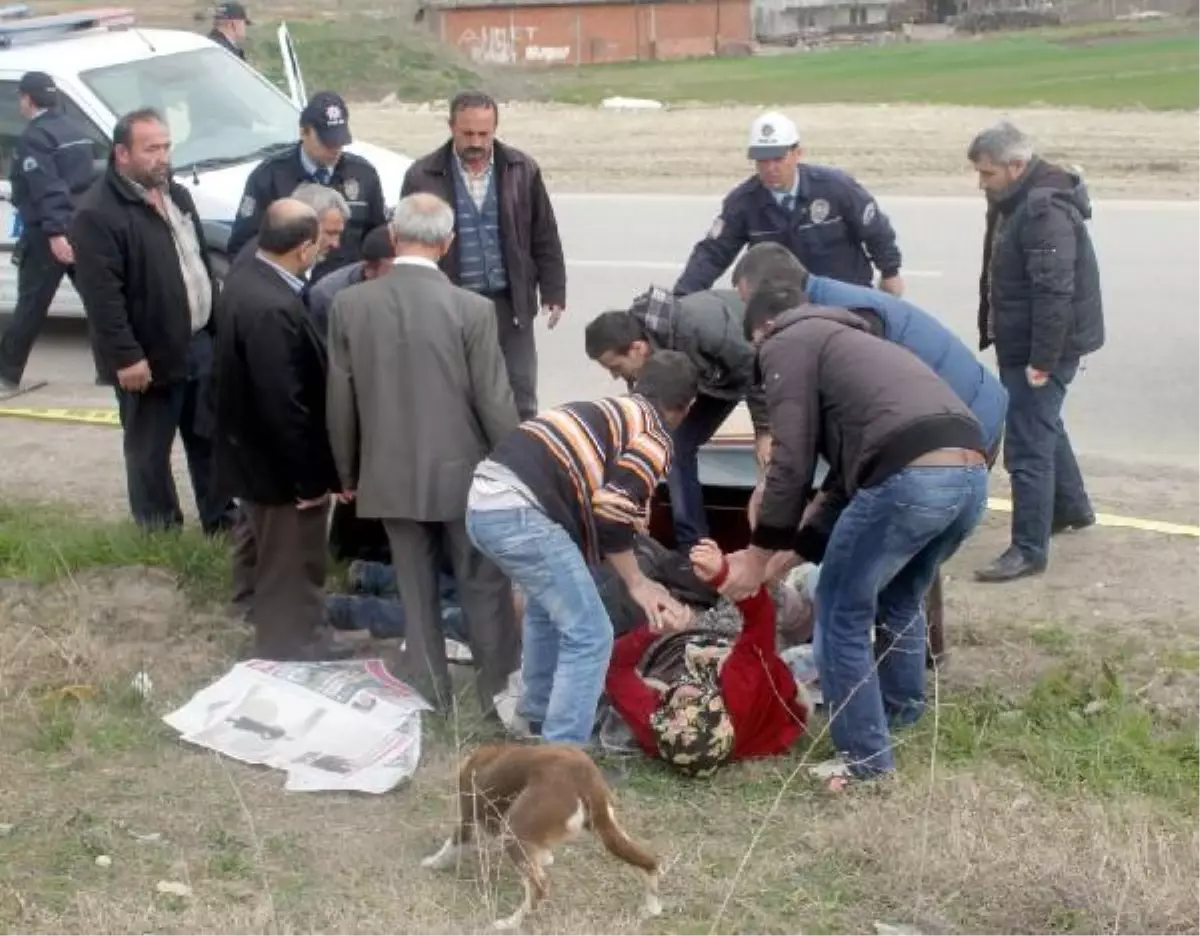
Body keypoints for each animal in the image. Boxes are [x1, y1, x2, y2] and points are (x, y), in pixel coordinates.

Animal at [422, 744, 667, 926]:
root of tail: (584, 775)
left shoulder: (468, 817)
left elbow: (451, 845)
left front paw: (433, 862)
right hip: (610, 829)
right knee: (649, 861)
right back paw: (652, 908)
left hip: (514, 829)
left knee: (539, 888)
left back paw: (509, 924)